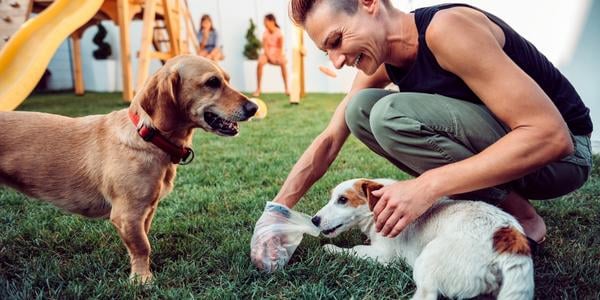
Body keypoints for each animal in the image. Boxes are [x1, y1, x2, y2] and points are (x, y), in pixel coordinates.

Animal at [0, 54, 255, 282]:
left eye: (227, 79)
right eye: (212, 82)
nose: (253, 107)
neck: (148, 136)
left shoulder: (146, 212)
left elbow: (141, 241)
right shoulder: (127, 214)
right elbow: (142, 246)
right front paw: (142, 279)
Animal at [312, 179, 532, 298]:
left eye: (343, 200)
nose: (314, 220)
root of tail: (509, 240)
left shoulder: (385, 256)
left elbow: (355, 249)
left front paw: (331, 248)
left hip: (426, 260)